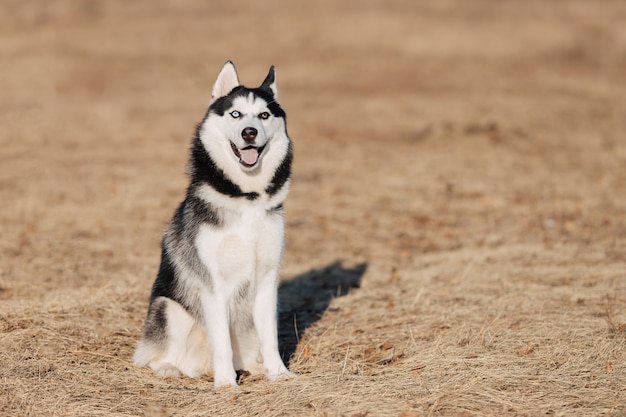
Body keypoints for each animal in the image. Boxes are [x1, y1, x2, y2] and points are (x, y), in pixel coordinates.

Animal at [133, 61, 294, 386]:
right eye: (236, 114)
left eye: (264, 115)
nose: (249, 133)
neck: (247, 199)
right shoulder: (213, 285)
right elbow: (221, 342)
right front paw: (226, 384)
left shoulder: (267, 280)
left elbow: (270, 336)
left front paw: (279, 373)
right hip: (170, 309)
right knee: (150, 356)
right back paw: (169, 368)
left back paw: (255, 367)